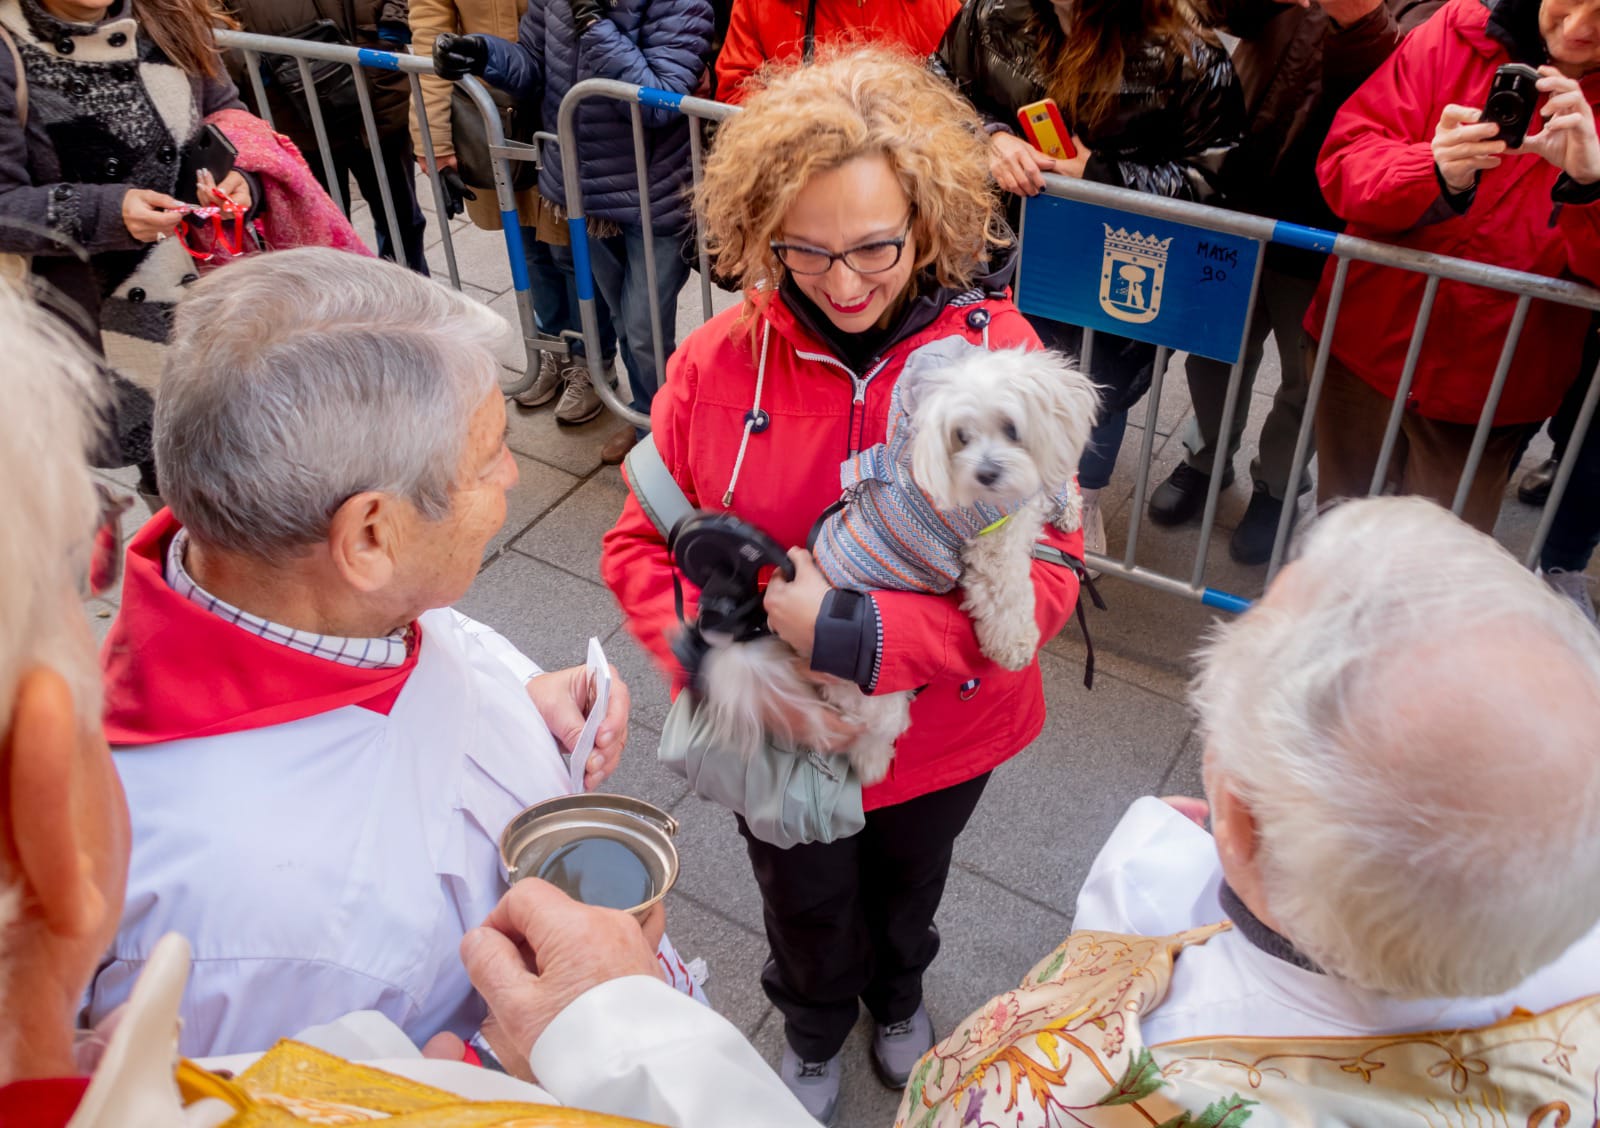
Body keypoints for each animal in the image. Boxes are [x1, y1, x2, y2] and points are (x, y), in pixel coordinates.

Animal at [700, 336, 1100, 784]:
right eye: (961, 436)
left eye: (1012, 428)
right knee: (867, 732)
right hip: (875, 697)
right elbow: (1006, 598)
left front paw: (1068, 508)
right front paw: (1015, 645)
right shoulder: (990, 547)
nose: (986, 474)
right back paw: (872, 765)